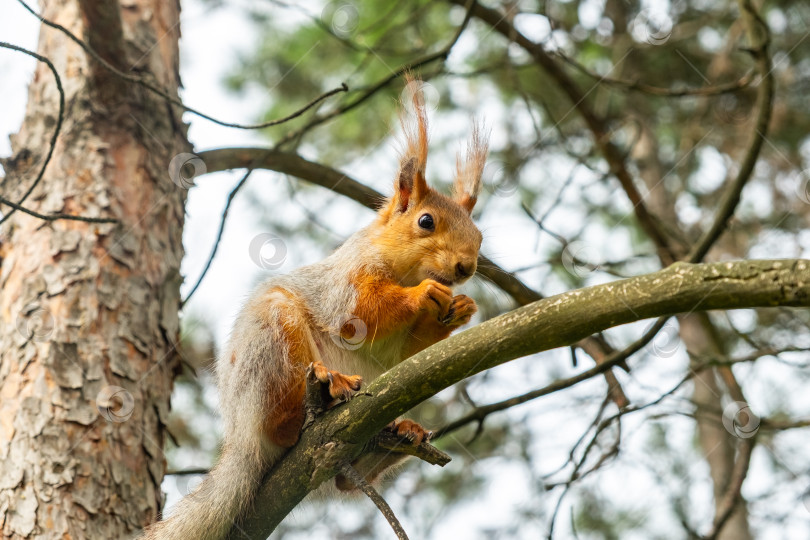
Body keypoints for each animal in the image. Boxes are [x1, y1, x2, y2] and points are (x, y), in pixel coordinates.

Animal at [142, 77, 486, 540]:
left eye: (479, 236)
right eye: (426, 221)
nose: (466, 267)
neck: (402, 269)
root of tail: (239, 439)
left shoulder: (398, 348)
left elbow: (405, 351)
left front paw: (461, 308)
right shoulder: (345, 283)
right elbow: (362, 311)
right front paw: (423, 294)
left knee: (344, 480)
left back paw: (399, 436)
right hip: (272, 343)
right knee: (281, 424)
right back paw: (319, 398)